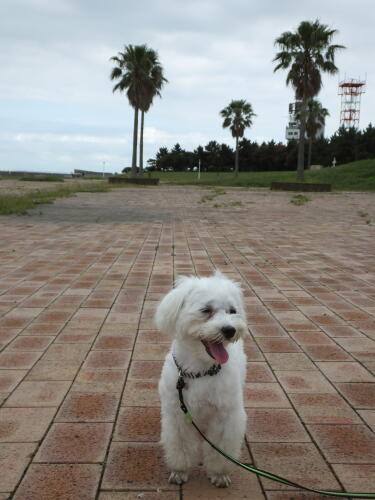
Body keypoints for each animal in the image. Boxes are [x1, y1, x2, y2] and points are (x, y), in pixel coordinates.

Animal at [156, 272, 250, 486]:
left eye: (232, 311)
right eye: (206, 310)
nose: (230, 330)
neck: (201, 370)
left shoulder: (225, 417)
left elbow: (220, 450)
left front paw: (219, 474)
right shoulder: (178, 415)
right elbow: (180, 446)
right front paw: (179, 471)